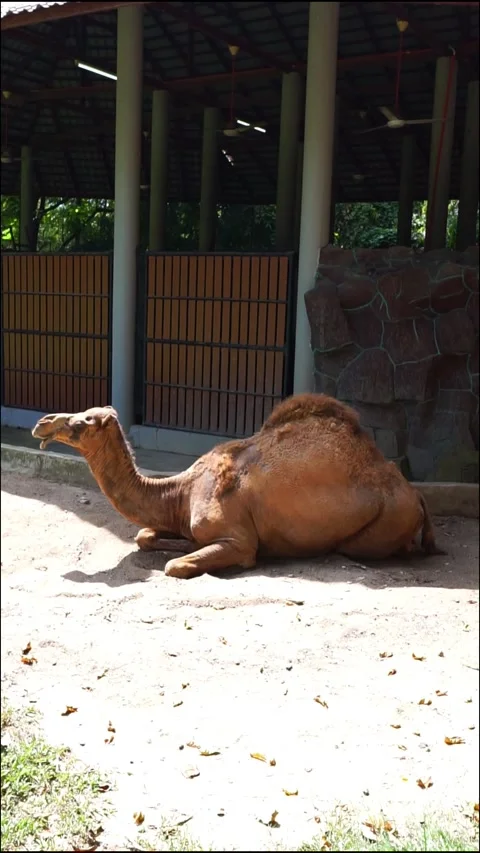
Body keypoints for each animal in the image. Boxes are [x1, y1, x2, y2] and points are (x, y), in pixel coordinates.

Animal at [31, 393, 442, 579]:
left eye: (84, 421)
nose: (42, 422)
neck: (179, 492)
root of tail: (417, 495)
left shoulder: (237, 538)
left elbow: (176, 566)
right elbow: (144, 536)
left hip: (383, 523)